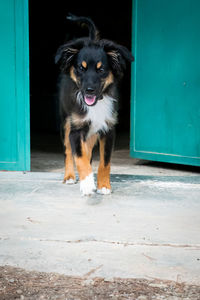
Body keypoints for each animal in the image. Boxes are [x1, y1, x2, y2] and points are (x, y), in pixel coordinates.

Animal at [54, 14, 134, 197]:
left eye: (101, 69)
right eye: (80, 68)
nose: (89, 90)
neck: (96, 103)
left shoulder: (108, 129)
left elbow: (105, 162)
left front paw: (103, 186)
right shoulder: (76, 130)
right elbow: (80, 157)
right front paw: (87, 184)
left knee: (88, 150)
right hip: (65, 122)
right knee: (68, 152)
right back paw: (69, 176)